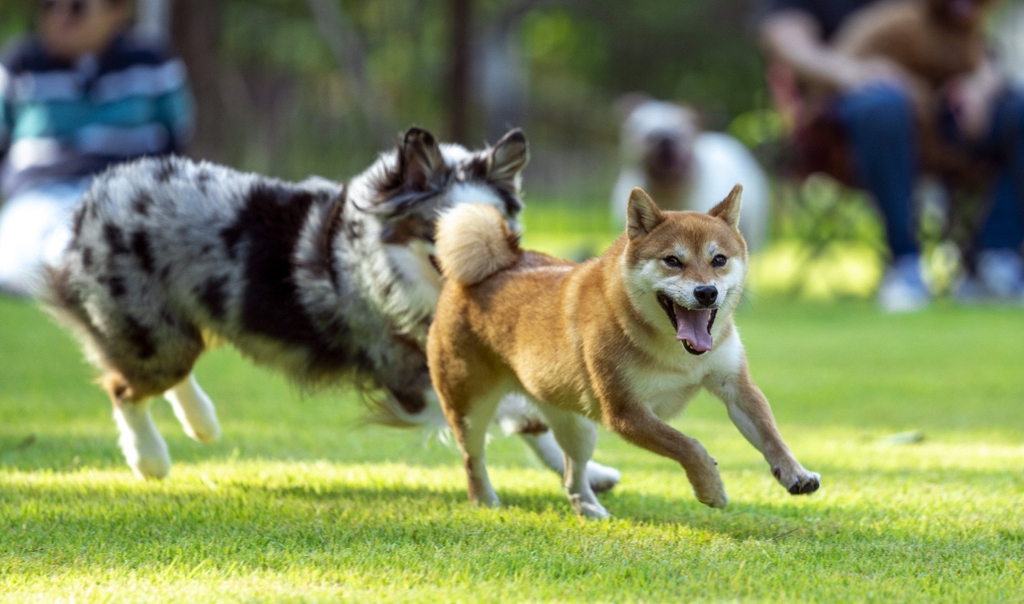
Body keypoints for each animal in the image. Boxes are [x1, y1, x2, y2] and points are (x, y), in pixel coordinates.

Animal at [39, 124, 614, 491]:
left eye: (502, 229)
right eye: (440, 228)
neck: (397, 270)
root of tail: (99, 190)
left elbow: (530, 414)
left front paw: (594, 474)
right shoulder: (407, 374)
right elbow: (510, 411)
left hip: (174, 329)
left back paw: (202, 423)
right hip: (150, 331)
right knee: (124, 387)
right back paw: (150, 459)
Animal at [428, 187, 819, 518]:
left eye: (719, 259)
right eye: (672, 261)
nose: (707, 292)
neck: (675, 351)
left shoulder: (734, 385)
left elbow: (770, 434)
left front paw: (795, 473)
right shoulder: (625, 412)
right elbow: (688, 445)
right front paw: (711, 488)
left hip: (577, 427)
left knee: (571, 476)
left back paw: (591, 511)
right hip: (472, 411)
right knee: (472, 460)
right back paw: (485, 500)